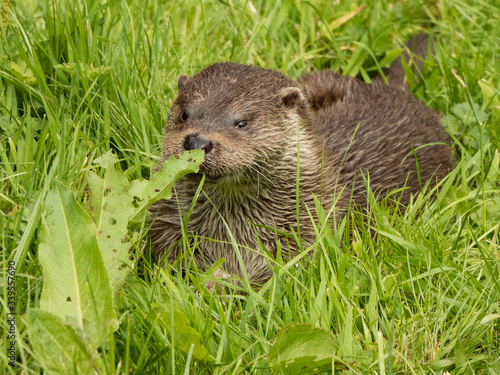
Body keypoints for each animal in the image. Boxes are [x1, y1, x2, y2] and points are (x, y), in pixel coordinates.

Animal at [150, 58, 456, 284]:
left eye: (242, 122)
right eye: (184, 114)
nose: (197, 142)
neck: (232, 229)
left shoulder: (310, 232)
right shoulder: (167, 220)